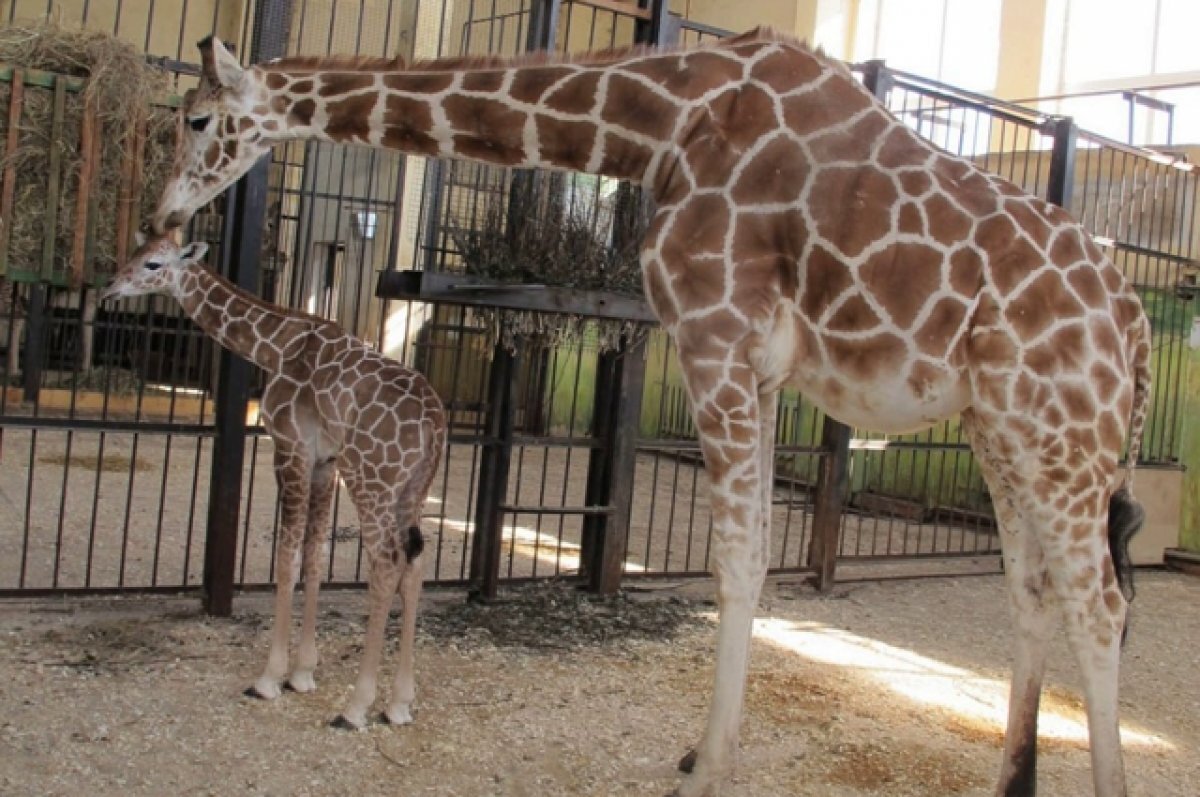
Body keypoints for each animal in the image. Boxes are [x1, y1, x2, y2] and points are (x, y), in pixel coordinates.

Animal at [100, 235, 448, 729]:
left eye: (152, 263)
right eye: (137, 251)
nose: (110, 287)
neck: (277, 346)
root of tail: (436, 426)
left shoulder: (290, 447)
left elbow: (285, 558)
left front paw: (269, 678)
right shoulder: (324, 462)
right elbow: (313, 557)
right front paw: (302, 673)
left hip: (371, 480)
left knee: (386, 562)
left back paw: (356, 707)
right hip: (410, 491)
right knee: (414, 564)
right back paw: (399, 703)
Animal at [154, 28, 1147, 792]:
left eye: (196, 118)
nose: (163, 214)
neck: (662, 124)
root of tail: (1131, 319)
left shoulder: (715, 336)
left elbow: (737, 563)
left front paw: (710, 766)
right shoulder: (754, 367)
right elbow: (750, 559)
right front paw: (705, 751)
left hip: (1066, 436)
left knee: (1101, 603)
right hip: (1005, 430)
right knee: (1033, 590)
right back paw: (1011, 778)